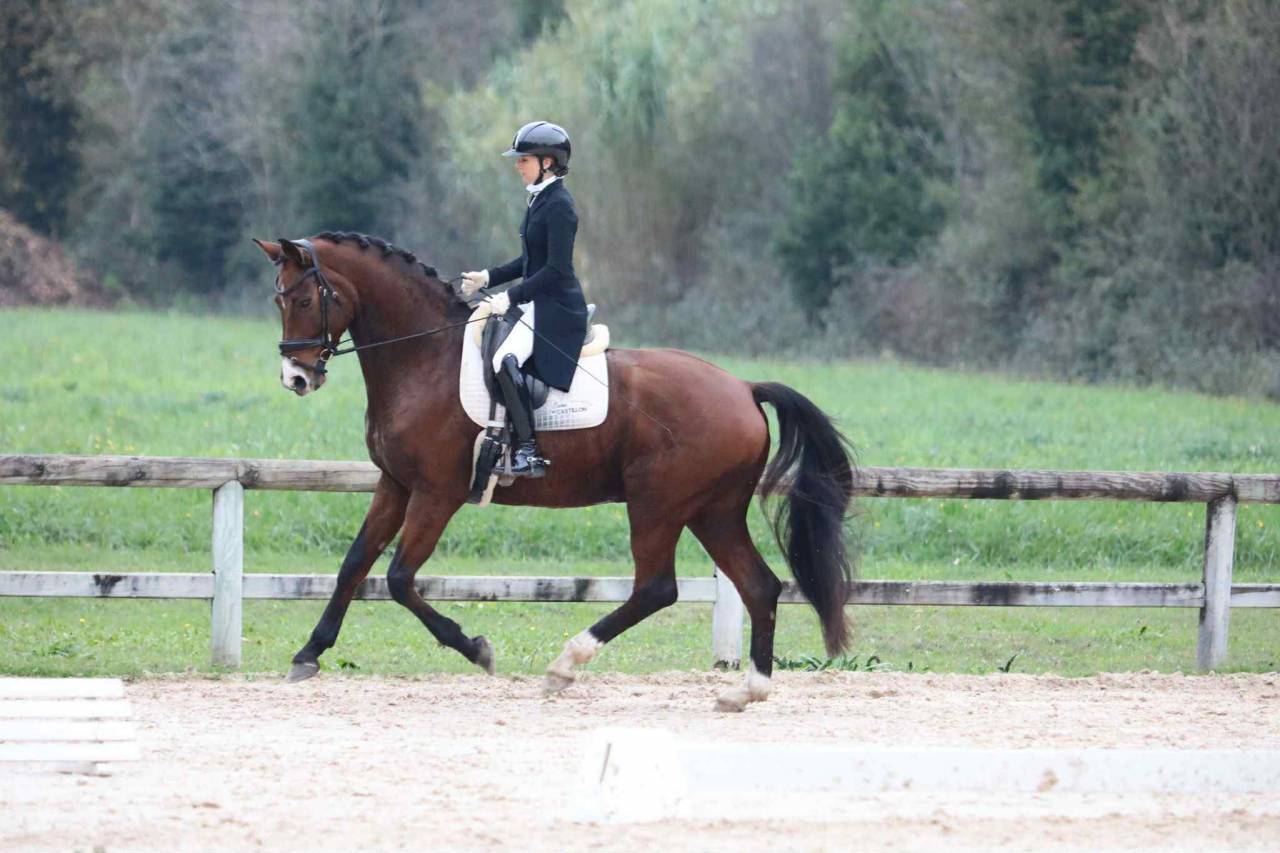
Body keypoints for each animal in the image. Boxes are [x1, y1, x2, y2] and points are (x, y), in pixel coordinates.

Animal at [254, 232, 858, 712]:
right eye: (278, 298)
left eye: (304, 298)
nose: (296, 378)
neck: (424, 357)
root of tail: (744, 388)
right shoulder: (395, 484)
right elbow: (354, 564)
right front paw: (308, 654)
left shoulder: (436, 493)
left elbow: (400, 578)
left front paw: (477, 649)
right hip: (713, 510)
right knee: (758, 585)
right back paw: (746, 691)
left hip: (658, 504)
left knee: (656, 588)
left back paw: (564, 665)